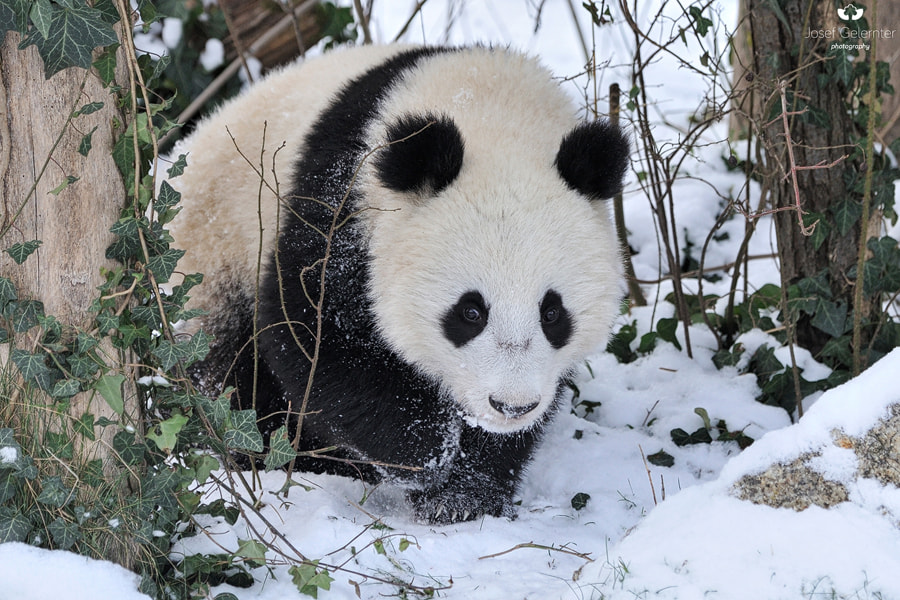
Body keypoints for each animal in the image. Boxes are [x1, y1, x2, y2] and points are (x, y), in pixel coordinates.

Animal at [168, 44, 629, 523]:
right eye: (470, 312)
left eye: (552, 313)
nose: (511, 405)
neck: (492, 112)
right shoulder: (339, 203)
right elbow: (310, 335)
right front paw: (424, 457)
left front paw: (463, 496)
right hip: (215, 257)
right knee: (232, 375)